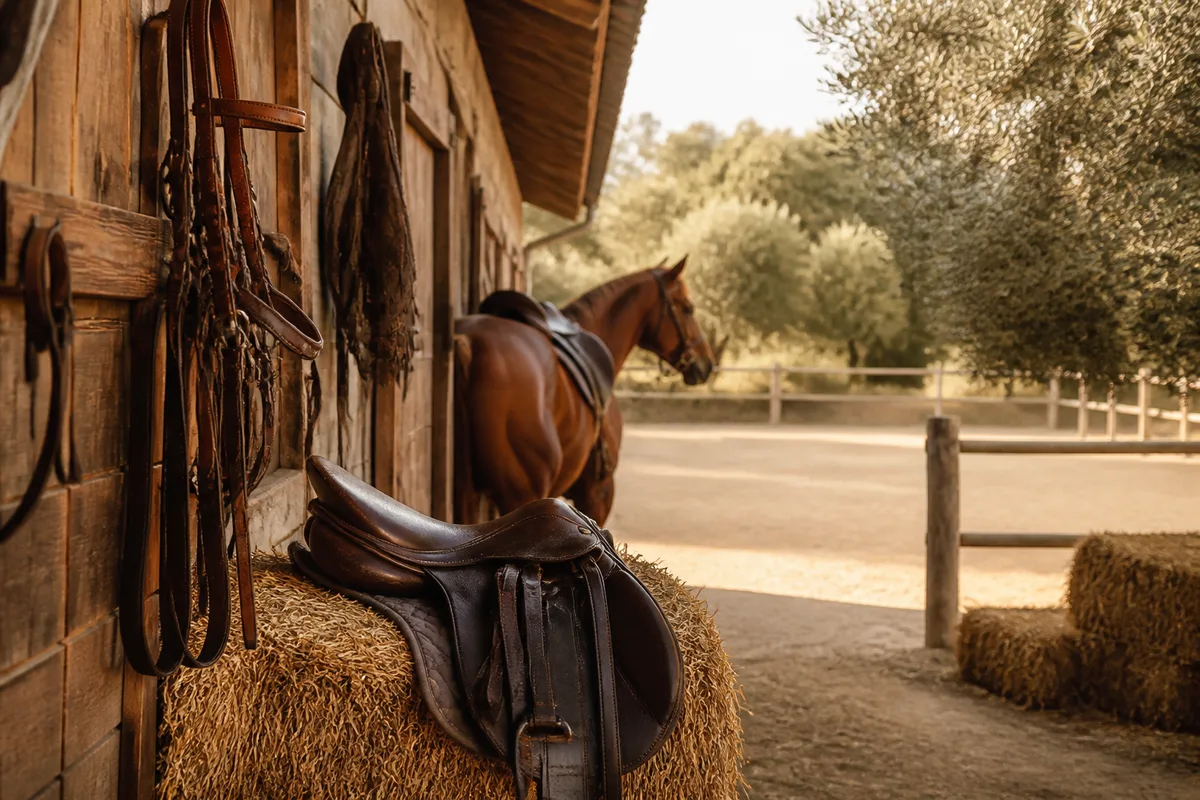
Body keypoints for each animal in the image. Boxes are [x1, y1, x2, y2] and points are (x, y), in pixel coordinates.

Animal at [453, 257, 715, 525]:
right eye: (688, 308)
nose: (706, 363)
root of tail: (469, 343)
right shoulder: (598, 491)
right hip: (523, 495)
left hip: (467, 493)